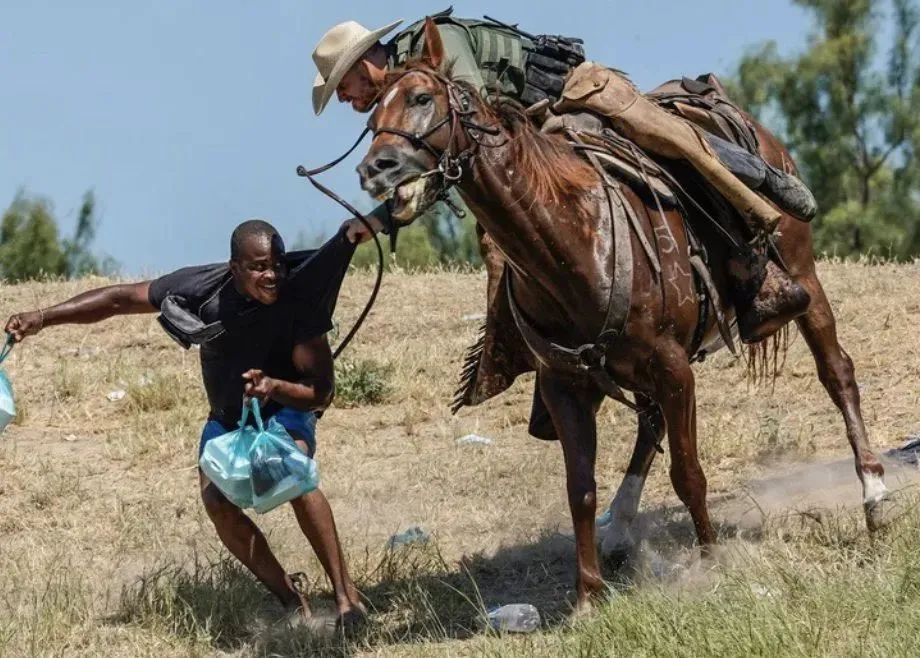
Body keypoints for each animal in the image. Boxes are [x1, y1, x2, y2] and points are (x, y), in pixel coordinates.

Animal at [358, 18, 892, 608]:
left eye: (422, 98)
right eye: (371, 117)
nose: (375, 168)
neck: (571, 240)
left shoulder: (675, 368)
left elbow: (688, 473)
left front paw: (711, 562)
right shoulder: (566, 384)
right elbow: (581, 489)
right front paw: (588, 596)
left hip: (803, 278)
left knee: (837, 373)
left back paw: (874, 495)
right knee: (649, 423)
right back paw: (619, 529)